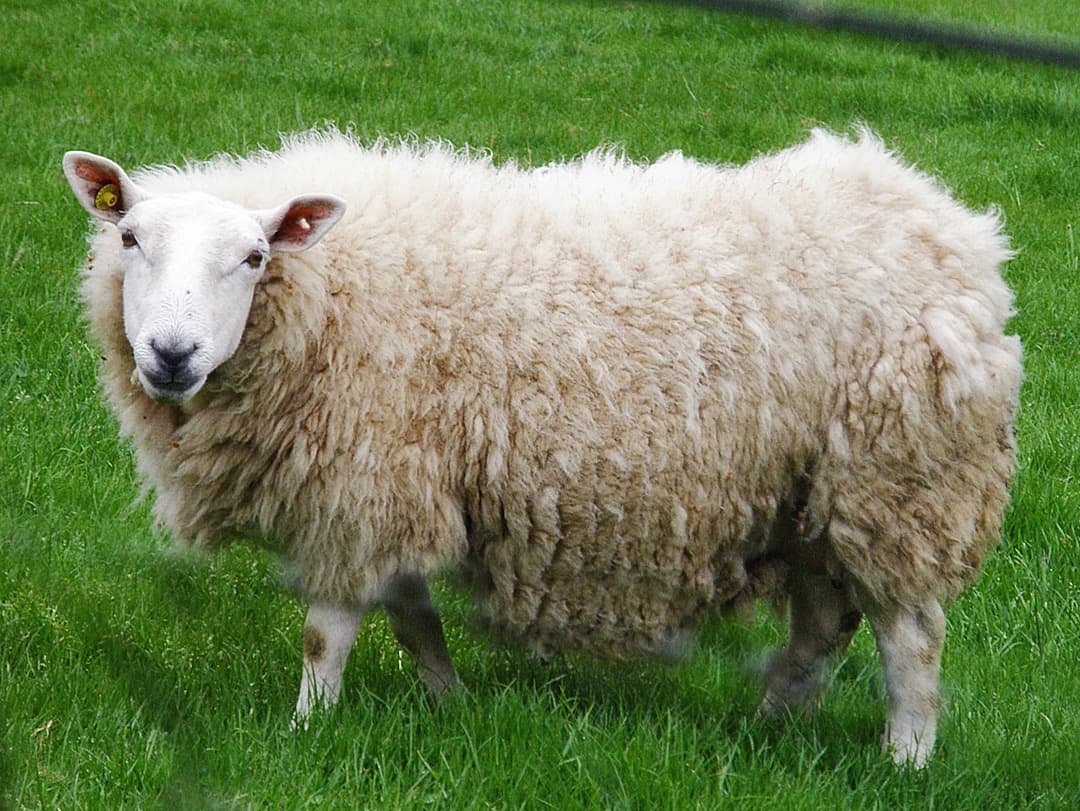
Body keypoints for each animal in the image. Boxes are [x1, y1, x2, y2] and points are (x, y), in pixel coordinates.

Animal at [63, 128, 1023, 768]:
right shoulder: (411, 477)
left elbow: (324, 632)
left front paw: (308, 730)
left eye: (256, 256)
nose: (172, 353)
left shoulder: (363, 479)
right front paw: (450, 704)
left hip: (900, 476)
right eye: (129, 238)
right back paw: (770, 726)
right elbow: (413, 617)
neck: (332, 295)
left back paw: (905, 759)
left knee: (911, 634)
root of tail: (955, 229)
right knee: (824, 621)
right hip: (813, 493)